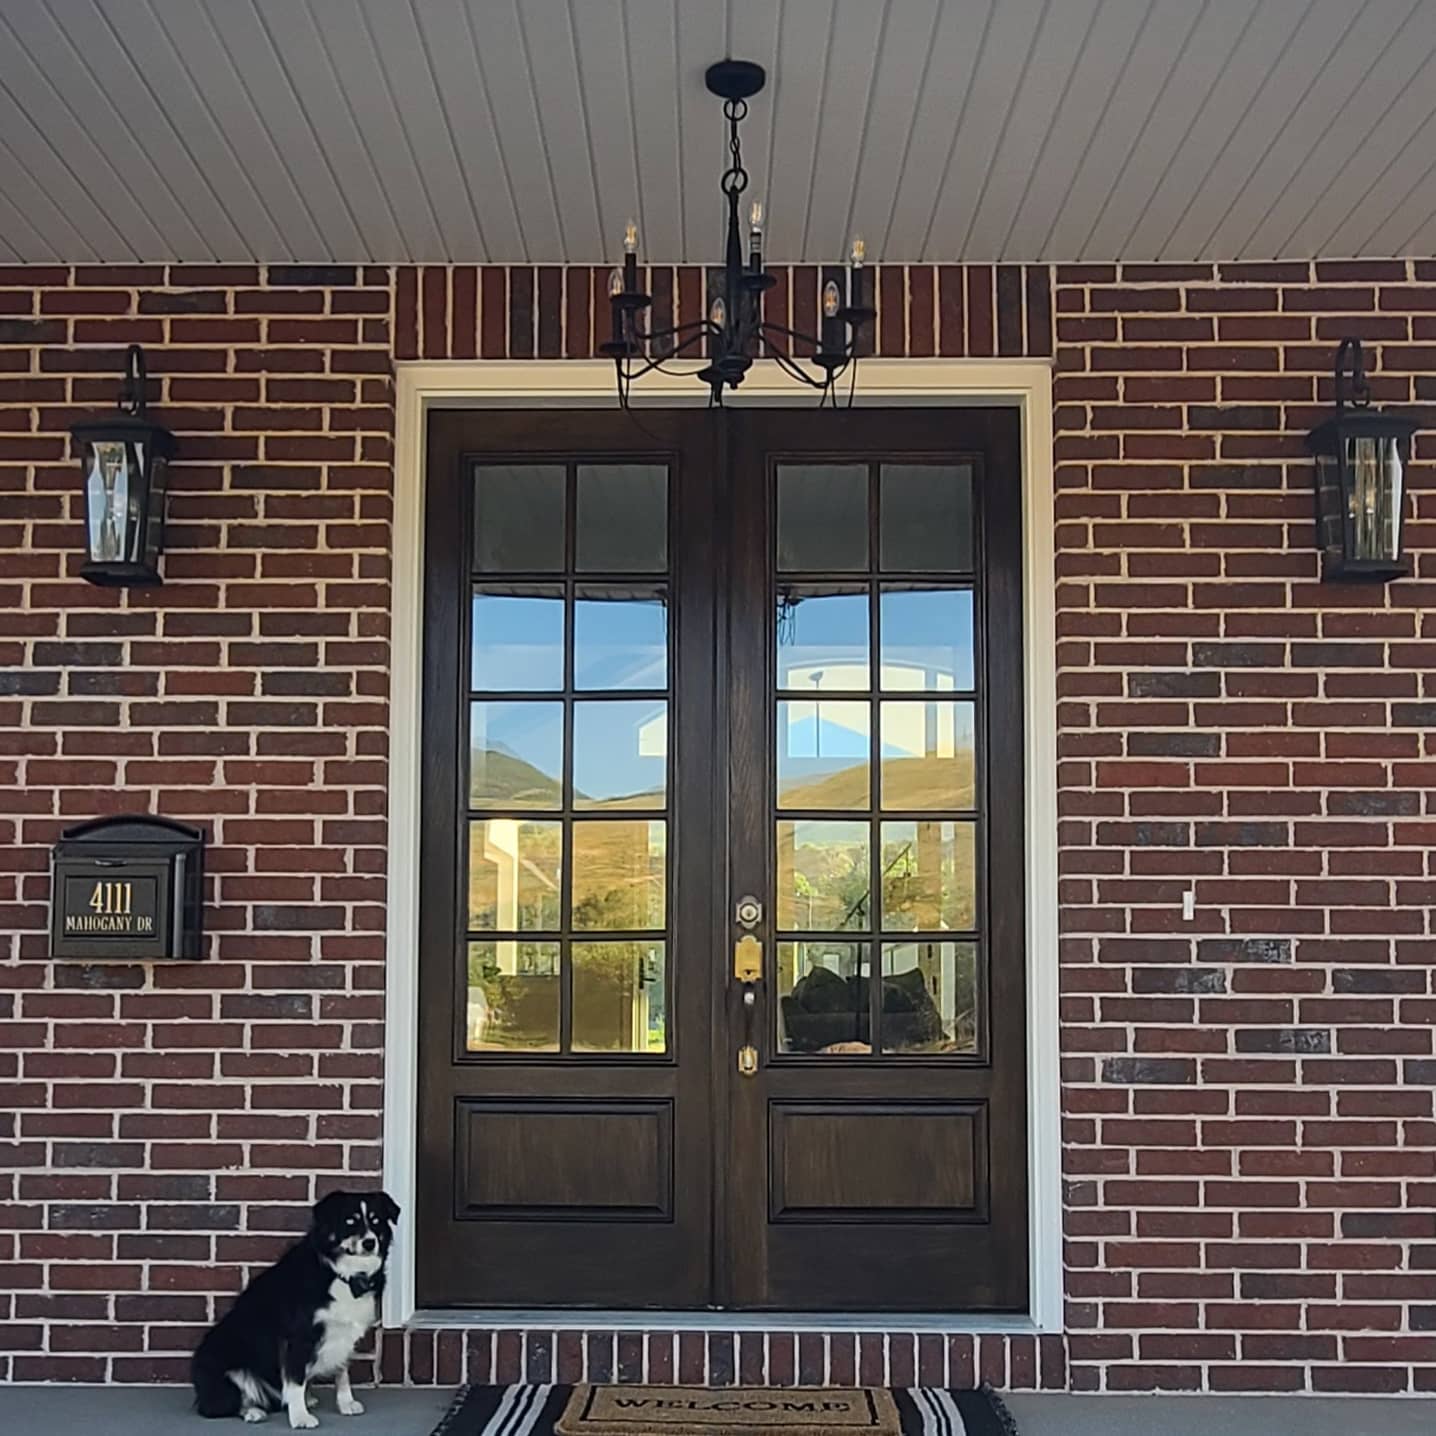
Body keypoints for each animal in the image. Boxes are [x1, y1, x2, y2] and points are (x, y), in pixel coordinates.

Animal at [192, 1189, 399, 1424]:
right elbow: (295, 1380)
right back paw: (253, 1411)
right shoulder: (297, 1336)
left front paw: (346, 1403)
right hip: (227, 1367)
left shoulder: (343, 1336)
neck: (342, 1275)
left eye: (376, 1221)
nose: (369, 1243)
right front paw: (300, 1417)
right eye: (350, 1221)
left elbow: (342, 1373)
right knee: (220, 1405)